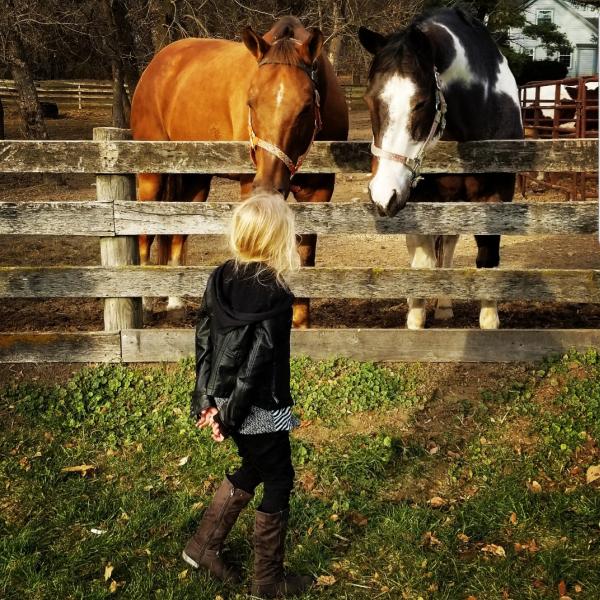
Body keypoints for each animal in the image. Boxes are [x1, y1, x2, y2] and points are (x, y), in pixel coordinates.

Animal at [130, 16, 346, 326]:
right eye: (251, 102)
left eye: (306, 106)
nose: (267, 185)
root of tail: (158, 63)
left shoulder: (319, 193)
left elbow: (306, 258)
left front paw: (301, 323)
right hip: (151, 173)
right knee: (145, 229)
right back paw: (146, 302)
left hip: (196, 179)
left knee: (178, 231)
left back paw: (175, 302)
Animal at [358, 8, 524, 328]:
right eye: (369, 100)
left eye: (421, 103)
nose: (383, 195)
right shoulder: (421, 200)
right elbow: (423, 265)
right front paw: (415, 318)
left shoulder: (495, 199)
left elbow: (486, 262)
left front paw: (488, 321)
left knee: (447, 248)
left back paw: (445, 305)